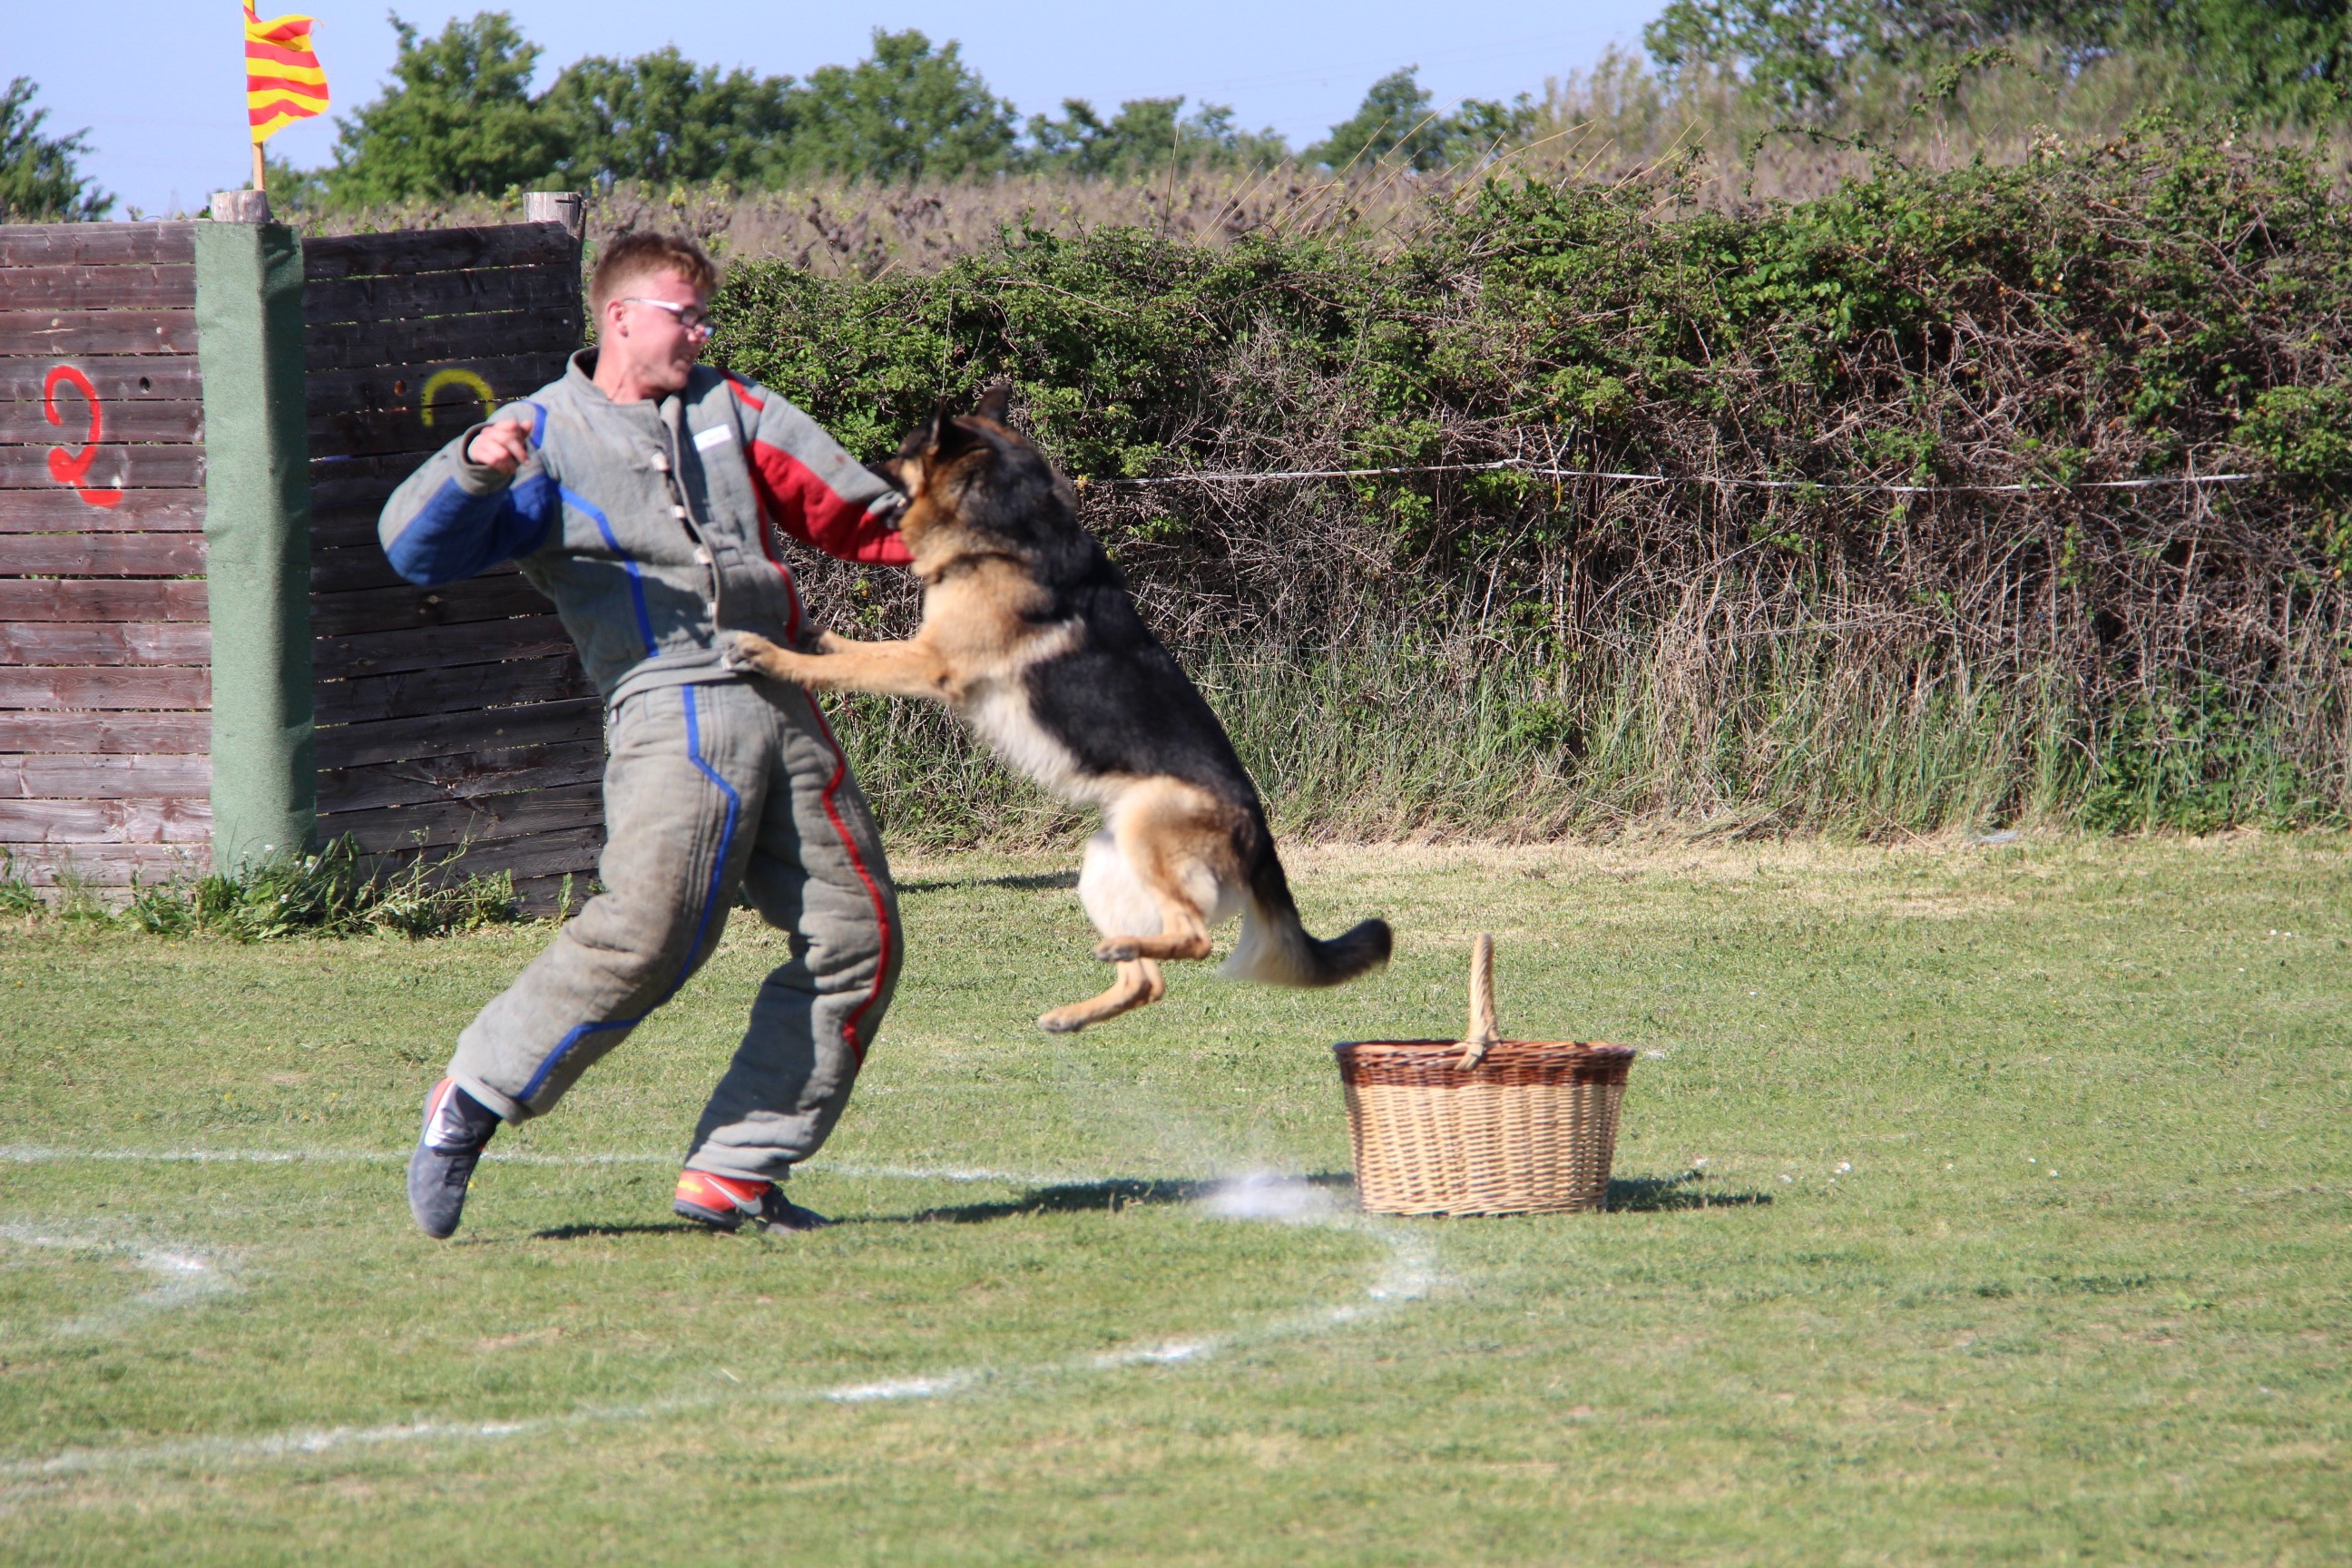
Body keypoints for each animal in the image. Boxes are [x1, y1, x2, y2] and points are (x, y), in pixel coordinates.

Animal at [733, 387, 1383, 1034]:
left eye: (900, 455)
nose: (859, 476)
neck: (1008, 528)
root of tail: (1260, 832)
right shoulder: (925, 653)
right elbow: (849, 651)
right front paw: (809, 635)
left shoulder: (931, 661)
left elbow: (857, 662)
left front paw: (774, 653)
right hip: (1104, 864)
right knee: (1149, 981)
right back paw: (1079, 1009)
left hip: (1148, 826)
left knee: (1196, 940)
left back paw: (1122, 953)